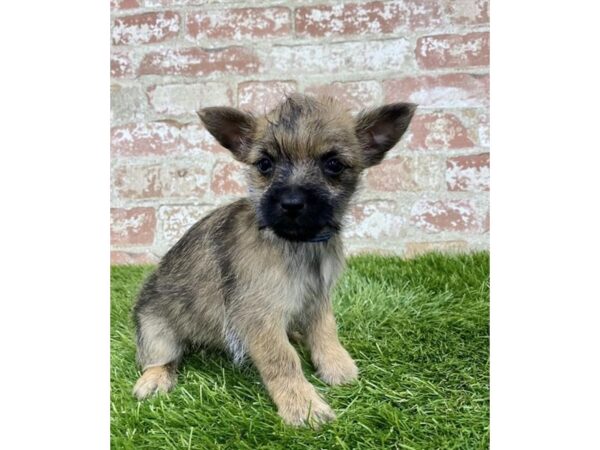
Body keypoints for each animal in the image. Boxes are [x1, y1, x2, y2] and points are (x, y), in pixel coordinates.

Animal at [132, 95, 414, 426]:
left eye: (333, 164)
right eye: (265, 164)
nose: (291, 203)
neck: (296, 243)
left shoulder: (318, 300)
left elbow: (326, 332)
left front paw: (336, 365)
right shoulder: (259, 317)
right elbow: (282, 360)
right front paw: (303, 405)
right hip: (155, 330)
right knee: (161, 359)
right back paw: (155, 379)